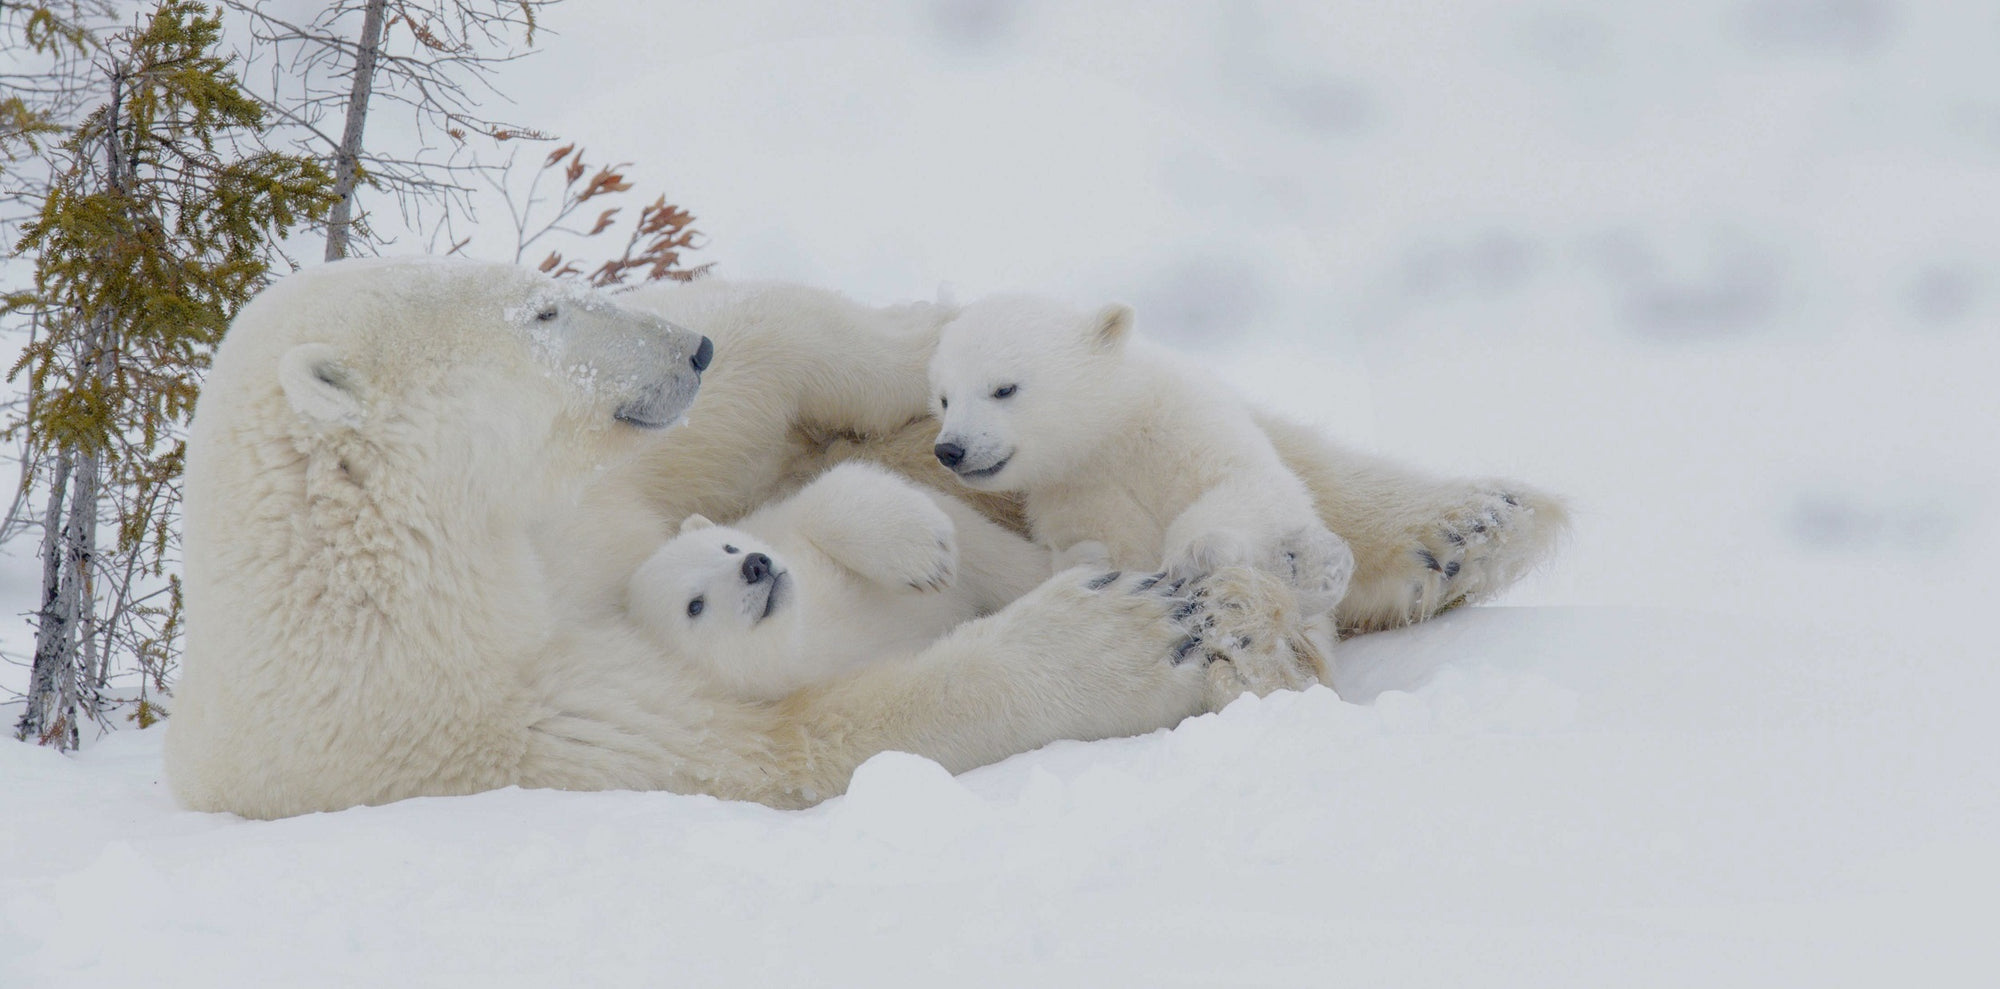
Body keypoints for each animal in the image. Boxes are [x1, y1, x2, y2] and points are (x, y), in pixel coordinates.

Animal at [632, 460, 1056, 700]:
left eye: (728, 546)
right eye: (694, 606)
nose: (755, 566)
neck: (811, 624)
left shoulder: (782, 525)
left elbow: (828, 491)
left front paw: (923, 558)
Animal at [928, 296, 1352, 616]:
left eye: (1004, 388)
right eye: (945, 398)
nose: (950, 449)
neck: (1113, 433)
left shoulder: (1185, 422)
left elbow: (1255, 484)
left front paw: (1195, 553)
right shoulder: (1079, 495)